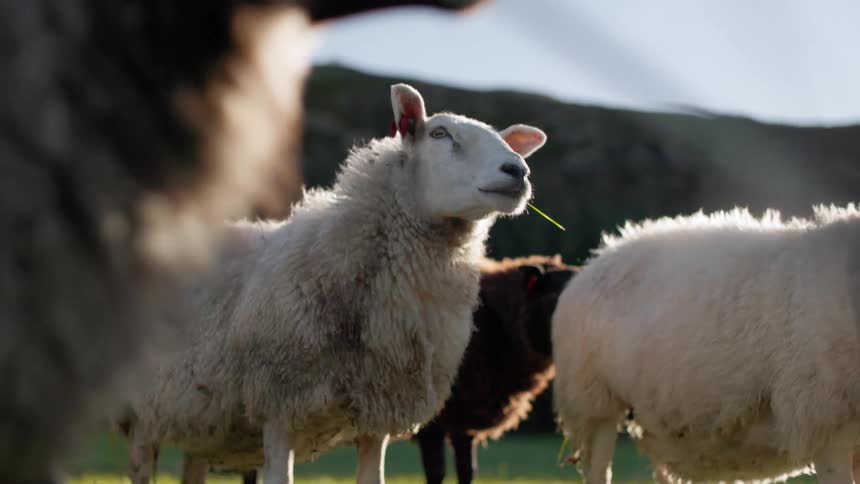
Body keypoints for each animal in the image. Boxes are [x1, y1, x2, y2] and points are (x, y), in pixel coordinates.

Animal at [122, 82, 548, 484]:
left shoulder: (377, 412)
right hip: (144, 417)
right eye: (440, 133)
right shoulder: (277, 405)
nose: (519, 171)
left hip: (199, 425)